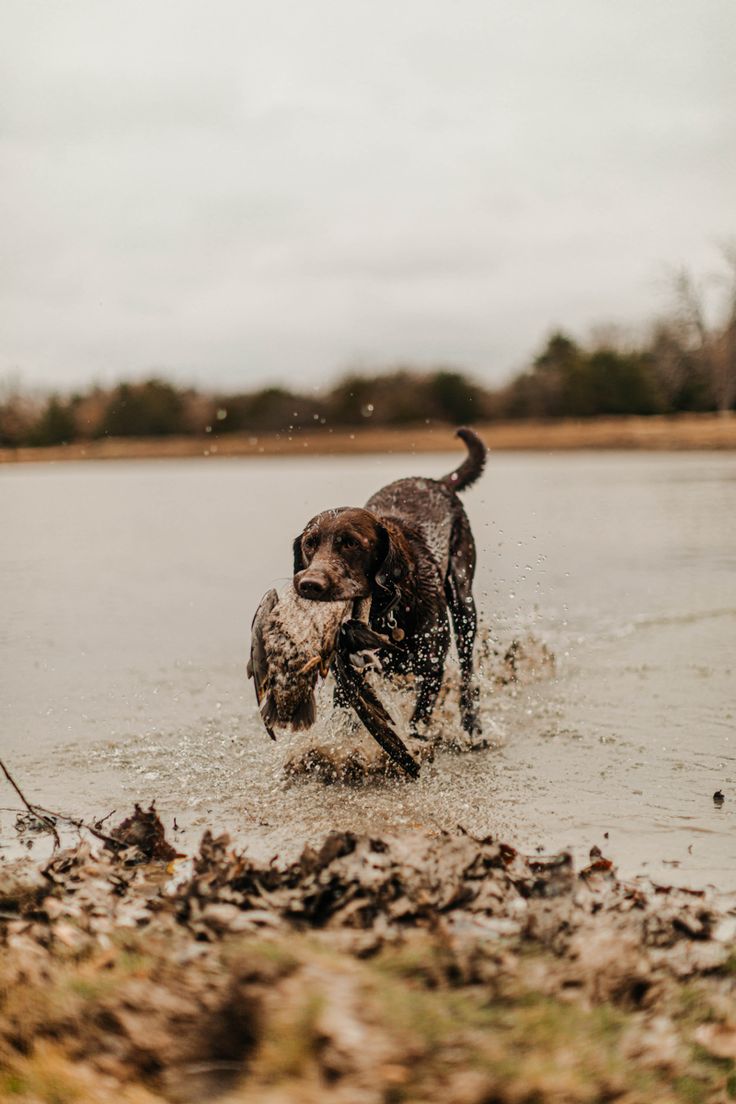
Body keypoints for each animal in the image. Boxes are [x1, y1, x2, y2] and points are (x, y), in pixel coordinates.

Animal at [293, 426, 489, 737]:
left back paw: (471, 725)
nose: (310, 584)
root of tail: (437, 482)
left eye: (351, 543)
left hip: (463, 602)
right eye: (309, 544)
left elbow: (418, 719)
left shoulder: (432, 668)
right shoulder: (349, 677)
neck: (385, 611)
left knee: (468, 672)